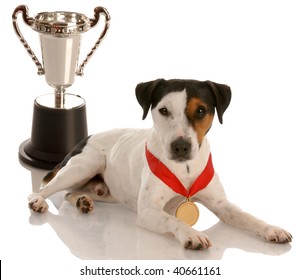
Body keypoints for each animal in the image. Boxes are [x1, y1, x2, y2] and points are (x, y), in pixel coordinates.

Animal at [28, 78, 292, 249]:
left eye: (201, 110)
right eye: (163, 110)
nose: (181, 146)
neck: (184, 170)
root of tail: (85, 138)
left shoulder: (222, 205)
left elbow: (248, 217)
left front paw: (272, 229)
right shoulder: (147, 211)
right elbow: (174, 219)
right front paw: (191, 234)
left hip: (106, 191)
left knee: (70, 193)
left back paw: (82, 201)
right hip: (83, 166)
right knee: (44, 189)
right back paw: (39, 201)